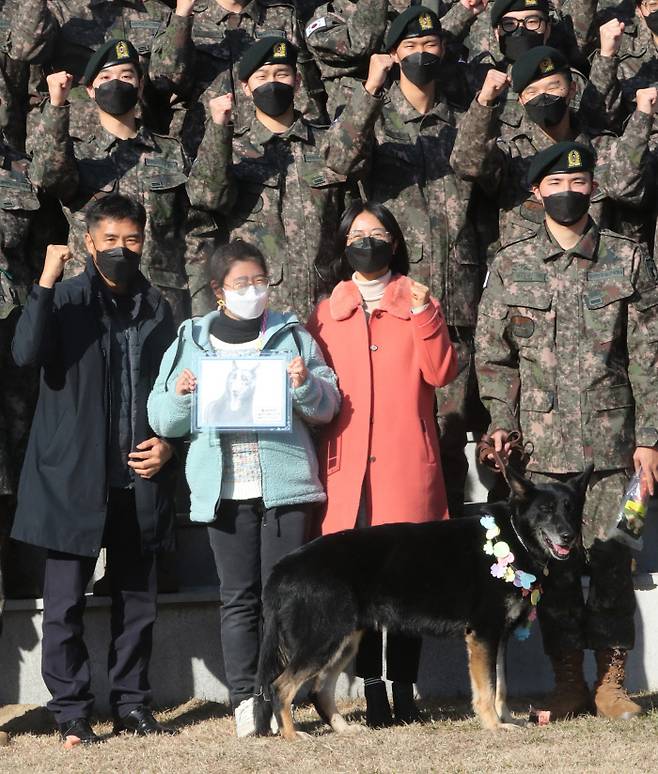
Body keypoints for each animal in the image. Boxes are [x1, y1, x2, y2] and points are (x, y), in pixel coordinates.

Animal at [254, 466, 592, 740]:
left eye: (571, 509)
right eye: (545, 510)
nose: (568, 536)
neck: (514, 534)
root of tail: (282, 567)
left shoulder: (499, 637)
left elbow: (502, 686)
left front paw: (506, 719)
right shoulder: (483, 635)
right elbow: (487, 688)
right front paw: (493, 725)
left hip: (343, 642)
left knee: (318, 690)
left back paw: (343, 729)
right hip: (322, 641)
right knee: (281, 686)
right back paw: (292, 735)